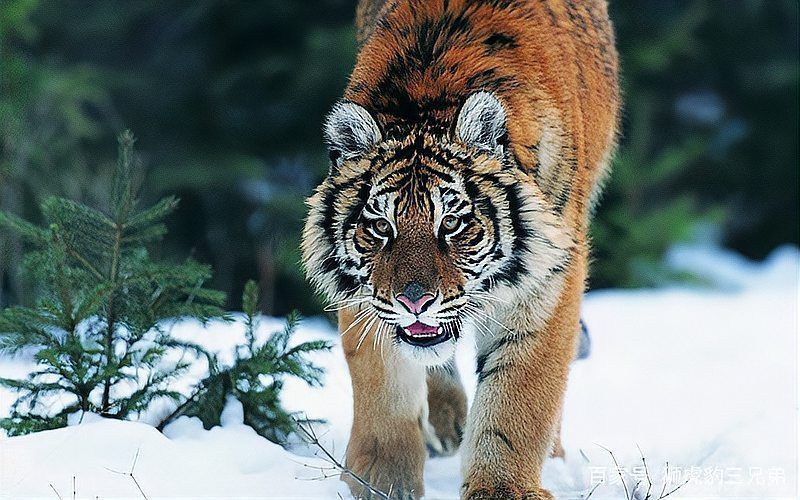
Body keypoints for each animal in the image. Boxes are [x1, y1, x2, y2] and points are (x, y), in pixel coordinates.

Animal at [301, 0, 619, 498]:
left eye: (451, 223)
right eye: (381, 226)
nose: (414, 301)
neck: (428, 94)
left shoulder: (548, 282)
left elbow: (517, 399)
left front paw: (503, 487)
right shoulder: (366, 292)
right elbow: (384, 388)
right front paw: (381, 481)